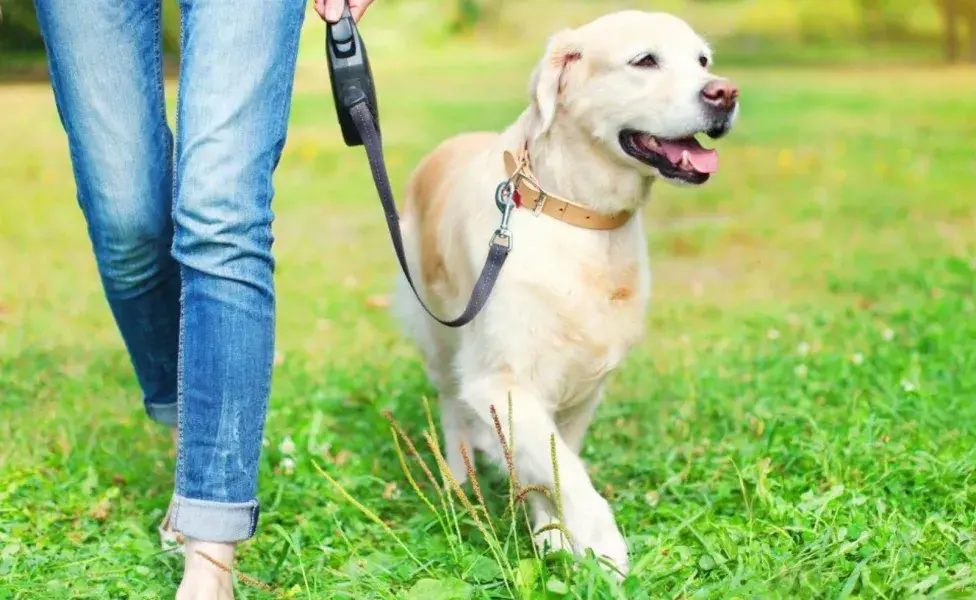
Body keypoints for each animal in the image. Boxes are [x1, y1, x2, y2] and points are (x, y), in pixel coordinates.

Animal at [392, 9, 736, 572]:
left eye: (703, 61)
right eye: (645, 60)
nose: (725, 93)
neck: (577, 212)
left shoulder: (584, 385)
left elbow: (553, 463)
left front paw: (552, 533)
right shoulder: (500, 379)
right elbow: (566, 472)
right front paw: (605, 550)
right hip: (439, 334)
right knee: (450, 406)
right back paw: (459, 479)